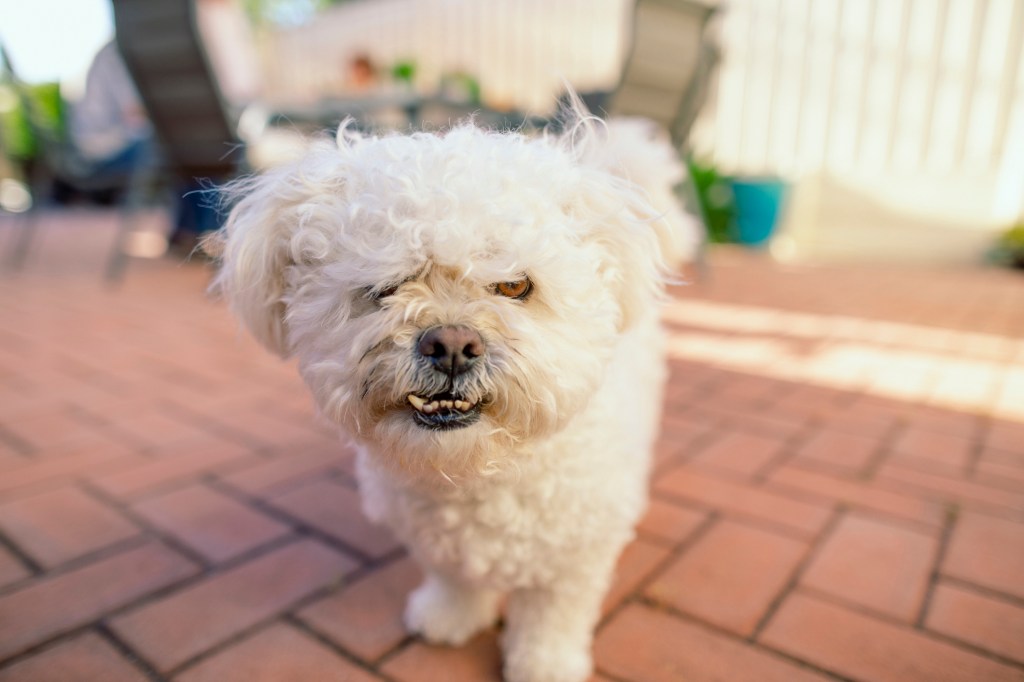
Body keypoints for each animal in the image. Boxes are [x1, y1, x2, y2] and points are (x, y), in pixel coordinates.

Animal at [211, 104, 700, 679]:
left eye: (514, 285)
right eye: (385, 286)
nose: (450, 345)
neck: (471, 473)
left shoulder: (574, 559)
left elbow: (553, 615)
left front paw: (545, 663)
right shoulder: (433, 536)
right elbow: (453, 576)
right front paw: (450, 616)